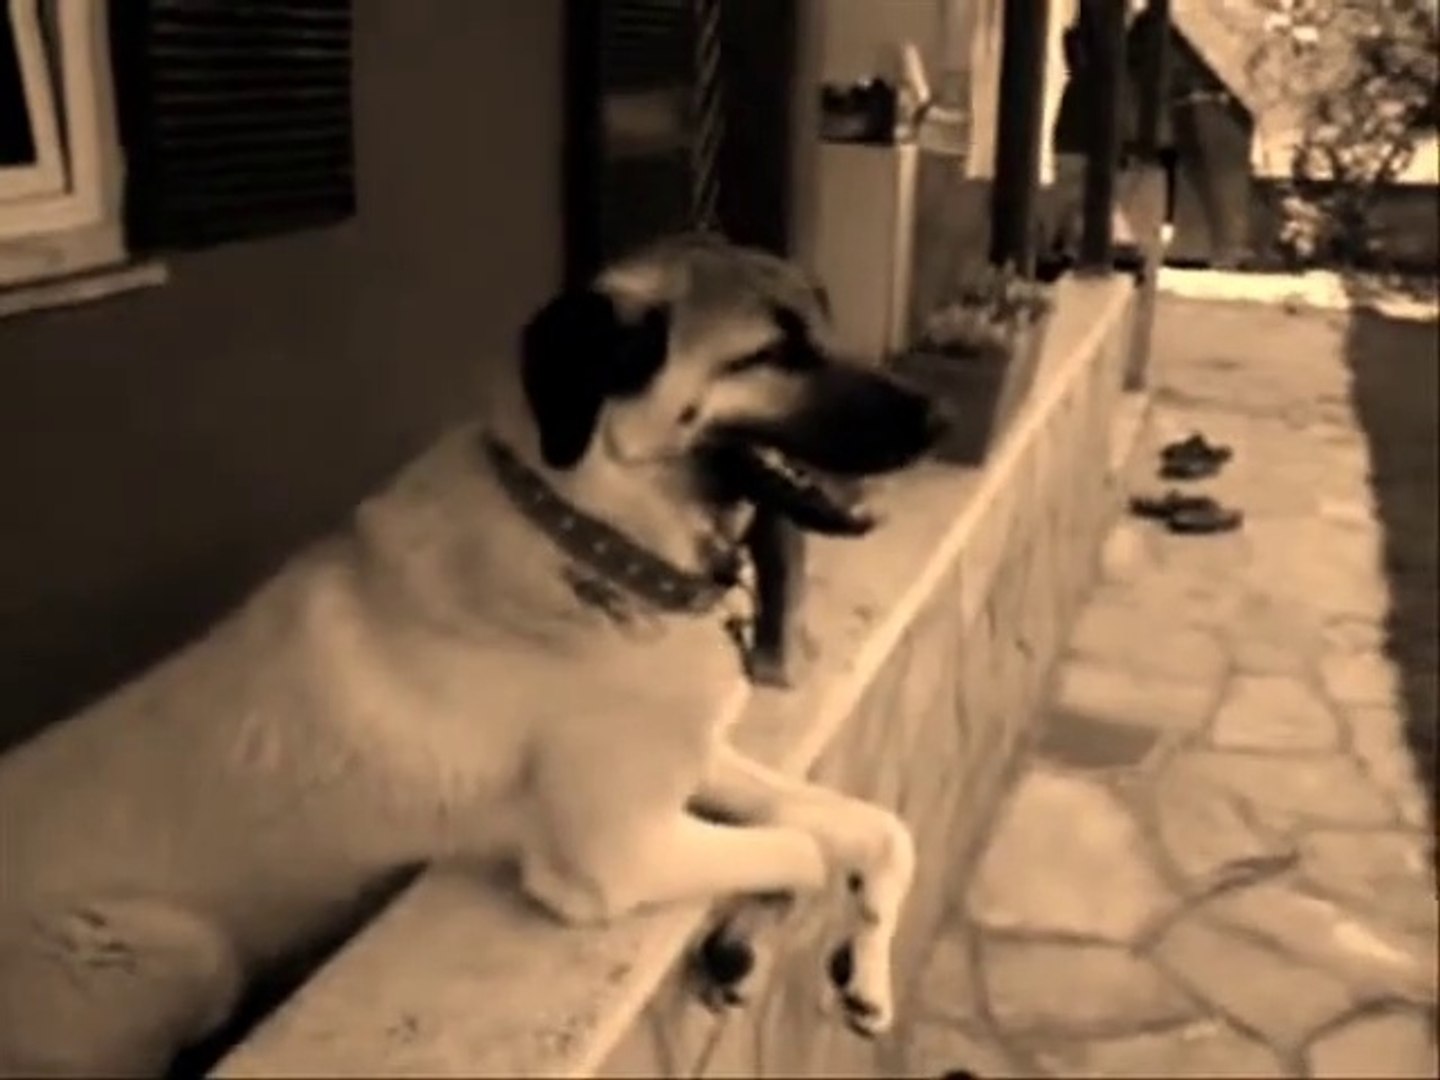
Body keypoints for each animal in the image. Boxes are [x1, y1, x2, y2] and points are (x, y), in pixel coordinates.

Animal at [0, 234, 944, 1077]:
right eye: (773, 353)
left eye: (822, 323)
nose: (944, 415)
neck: (592, 532)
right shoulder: (622, 851)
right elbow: (805, 851)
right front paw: (760, 936)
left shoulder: (693, 760)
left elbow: (876, 828)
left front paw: (868, 974)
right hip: (182, 958)